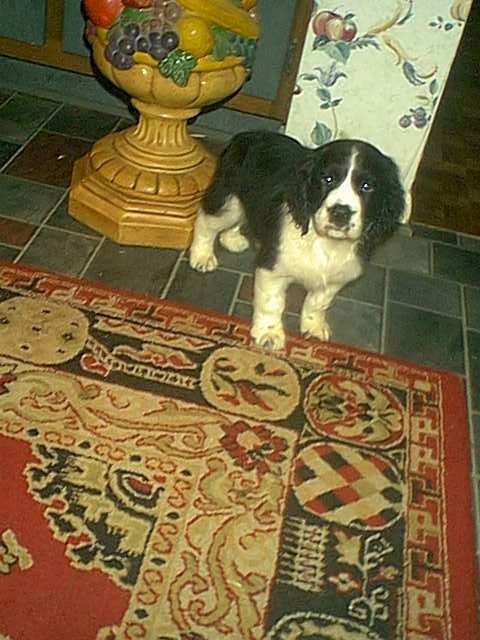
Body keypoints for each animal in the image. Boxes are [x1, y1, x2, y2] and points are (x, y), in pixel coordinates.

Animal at [189, 131, 405, 350]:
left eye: (367, 186)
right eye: (327, 179)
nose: (340, 213)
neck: (325, 242)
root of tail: (246, 135)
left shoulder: (336, 277)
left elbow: (318, 302)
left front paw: (314, 327)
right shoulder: (273, 268)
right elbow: (272, 303)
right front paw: (269, 334)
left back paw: (232, 239)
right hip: (229, 199)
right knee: (206, 221)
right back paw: (202, 256)